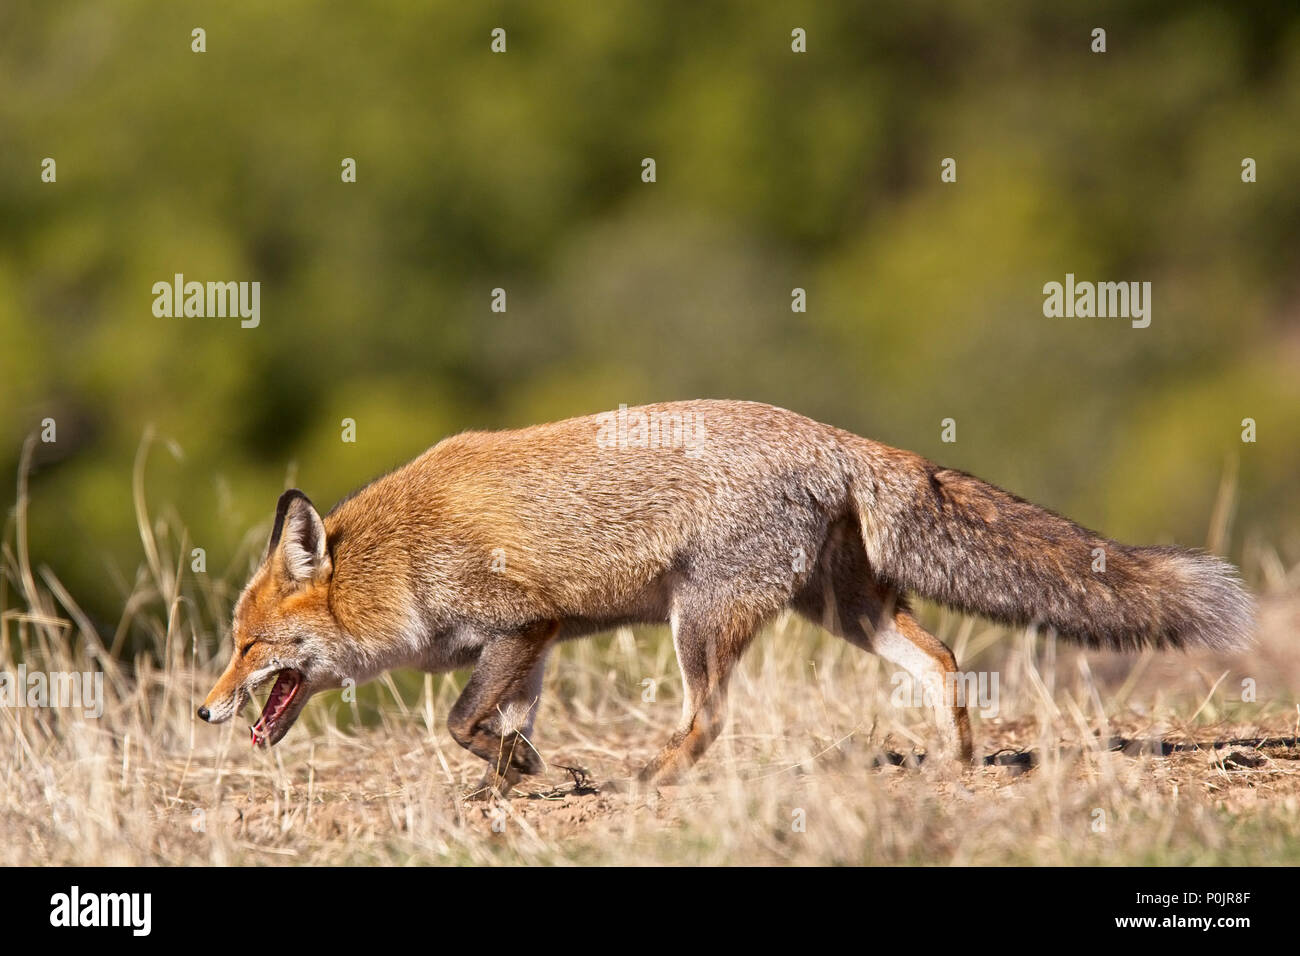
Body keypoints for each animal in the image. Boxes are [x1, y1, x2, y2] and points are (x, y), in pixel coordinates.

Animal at [197, 398, 1253, 790]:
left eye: (249, 647)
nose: (205, 711)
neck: (401, 563)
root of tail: (833, 434)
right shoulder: (535, 644)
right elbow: (505, 728)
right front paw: (516, 778)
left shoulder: (520, 625)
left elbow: (460, 720)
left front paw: (525, 773)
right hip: (843, 611)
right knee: (945, 660)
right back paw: (960, 763)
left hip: (697, 620)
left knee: (709, 720)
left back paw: (650, 778)